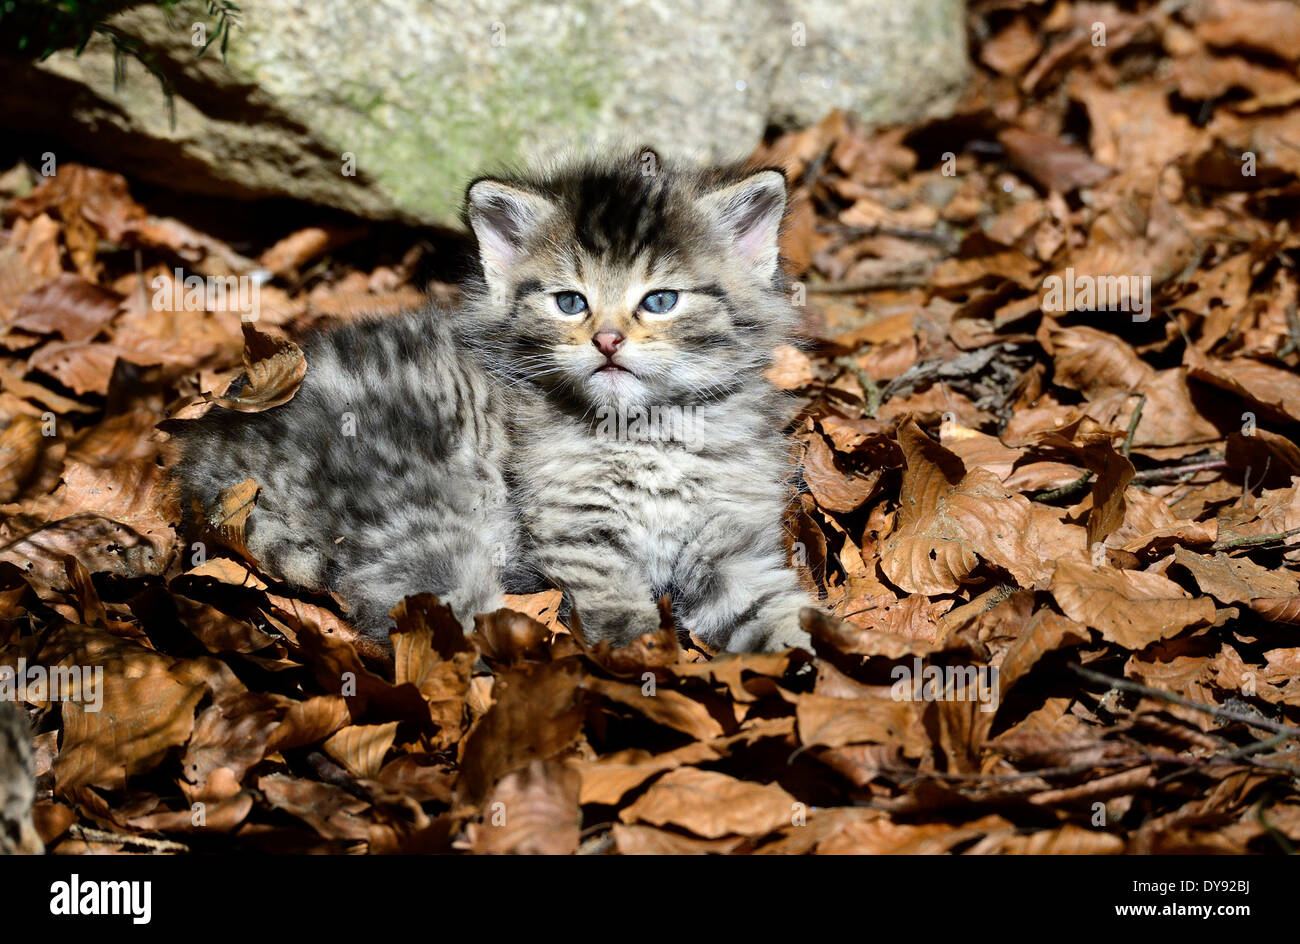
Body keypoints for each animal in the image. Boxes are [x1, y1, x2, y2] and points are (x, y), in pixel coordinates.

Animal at [172, 155, 816, 655]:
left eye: (660, 301)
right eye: (570, 302)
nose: (608, 341)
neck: (648, 433)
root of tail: (212, 453)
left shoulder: (731, 542)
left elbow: (778, 611)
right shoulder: (578, 536)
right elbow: (617, 613)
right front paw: (640, 665)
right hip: (421, 515)